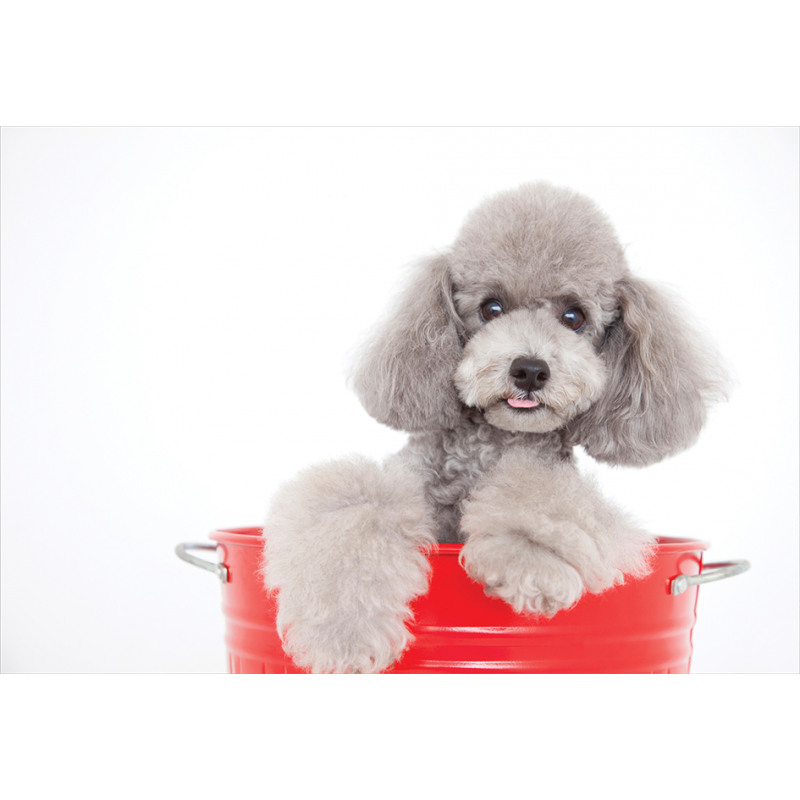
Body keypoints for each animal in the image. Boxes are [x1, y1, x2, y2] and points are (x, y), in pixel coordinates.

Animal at [260, 183, 724, 676]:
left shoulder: (548, 483)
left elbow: (544, 501)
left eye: (574, 317)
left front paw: (531, 559)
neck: (490, 450)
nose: (530, 370)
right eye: (491, 308)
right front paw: (343, 635)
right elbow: (352, 511)